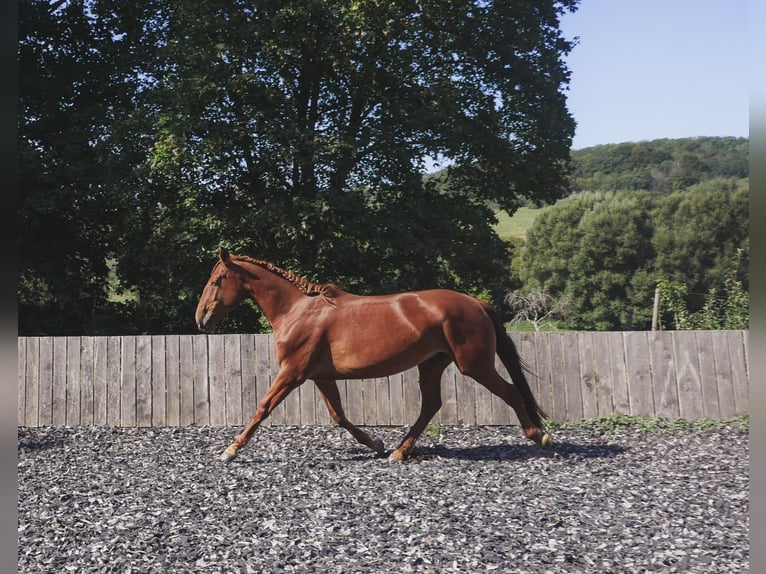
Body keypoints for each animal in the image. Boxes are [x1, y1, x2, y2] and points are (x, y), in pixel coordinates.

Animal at [195, 249, 548, 464]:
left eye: (216, 280)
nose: (201, 319)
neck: (296, 311)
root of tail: (476, 303)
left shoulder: (292, 373)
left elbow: (263, 407)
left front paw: (230, 450)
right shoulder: (319, 376)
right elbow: (338, 415)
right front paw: (376, 444)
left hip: (473, 365)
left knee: (510, 392)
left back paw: (539, 436)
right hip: (432, 364)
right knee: (431, 404)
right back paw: (398, 452)